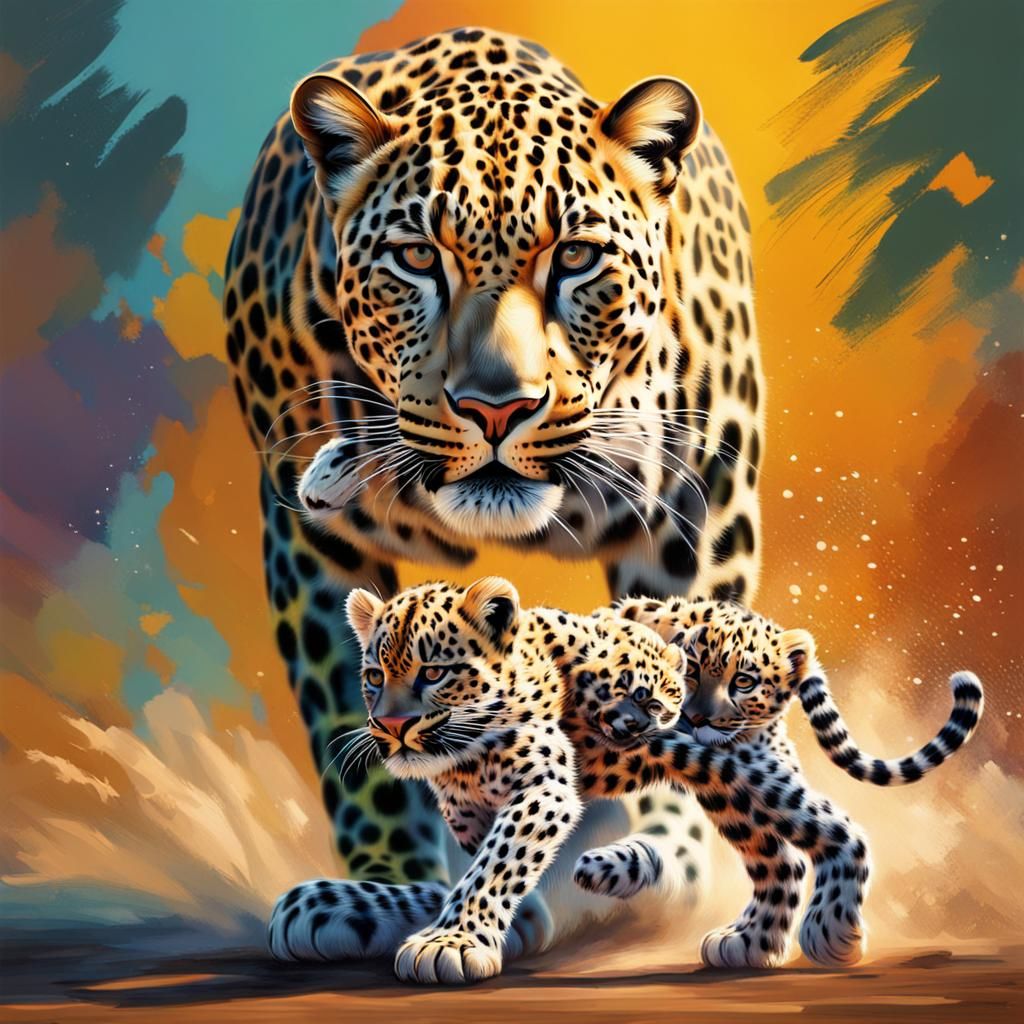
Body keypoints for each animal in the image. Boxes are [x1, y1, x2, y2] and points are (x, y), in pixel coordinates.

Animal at [226, 25, 764, 958]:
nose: (497, 405)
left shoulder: (703, 498)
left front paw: (662, 851)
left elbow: (688, 675)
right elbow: (358, 730)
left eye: (576, 257)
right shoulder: (311, 539)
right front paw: (388, 890)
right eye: (416, 258)